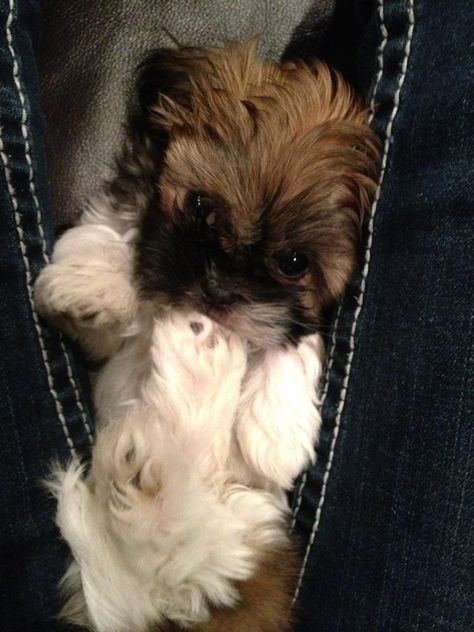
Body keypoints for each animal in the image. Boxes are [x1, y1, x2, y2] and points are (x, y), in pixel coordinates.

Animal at [35, 40, 380, 632]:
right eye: (199, 205)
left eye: (293, 262)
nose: (218, 290)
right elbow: (118, 231)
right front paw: (93, 280)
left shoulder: (286, 311)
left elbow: (293, 335)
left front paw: (278, 430)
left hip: (244, 519)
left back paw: (199, 358)